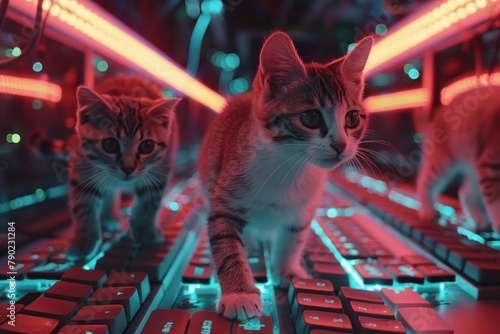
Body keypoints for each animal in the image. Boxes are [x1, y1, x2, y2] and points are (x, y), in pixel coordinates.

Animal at [66, 75, 180, 260]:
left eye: (147, 146)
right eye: (109, 144)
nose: (128, 168)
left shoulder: (160, 170)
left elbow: (150, 202)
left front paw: (145, 231)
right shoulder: (82, 169)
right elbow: (83, 206)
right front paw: (83, 239)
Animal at [197, 32, 374, 320]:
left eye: (353, 118)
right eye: (310, 117)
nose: (341, 145)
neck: (288, 165)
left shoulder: (305, 204)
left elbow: (293, 236)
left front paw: (287, 269)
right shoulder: (224, 203)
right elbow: (227, 245)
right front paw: (239, 294)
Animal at [416, 85, 500, 234]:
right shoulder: (490, 162)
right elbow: (495, 199)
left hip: (474, 164)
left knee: (465, 192)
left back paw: (480, 219)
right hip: (443, 161)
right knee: (424, 182)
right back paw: (427, 209)